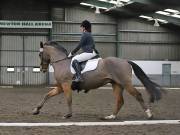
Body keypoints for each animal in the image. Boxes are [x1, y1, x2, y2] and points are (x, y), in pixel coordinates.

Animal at [31, 40, 162, 119]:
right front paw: (36, 110)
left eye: (39, 54)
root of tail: (125, 61)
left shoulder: (66, 85)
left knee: (137, 95)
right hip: (116, 84)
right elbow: (47, 95)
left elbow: (68, 100)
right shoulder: (60, 87)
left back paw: (149, 114)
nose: (42, 69)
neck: (62, 62)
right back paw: (111, 116)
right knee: (120, 100)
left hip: (126, 83)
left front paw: (68, 115)